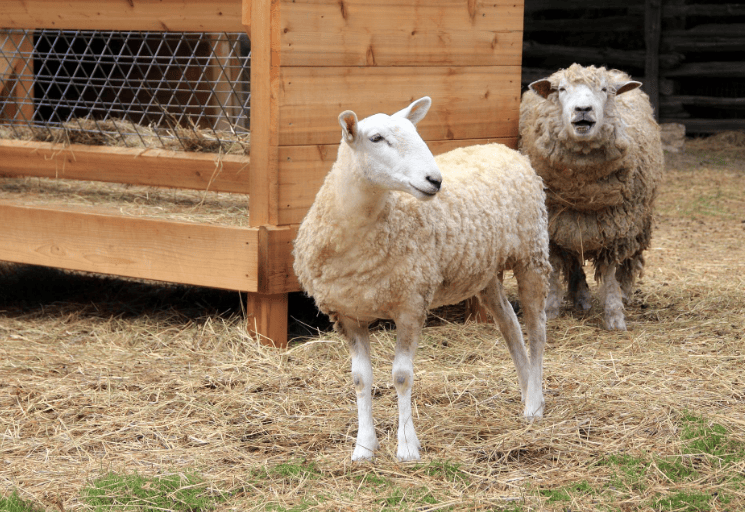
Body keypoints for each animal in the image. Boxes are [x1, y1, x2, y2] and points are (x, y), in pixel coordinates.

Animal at [294, 98, 548, 462]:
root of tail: (505, 149)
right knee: (510, 325)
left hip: (532, 252)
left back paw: (535, 405)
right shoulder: (347, 313)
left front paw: (406, 447)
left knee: (537, 330)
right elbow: (360, 378)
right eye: (376, 138)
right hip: (485, 271)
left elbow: (401, 376)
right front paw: (363, 447)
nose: (435, 180)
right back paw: (526, 392)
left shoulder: (411, 302)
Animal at [516, 63, 664, 332]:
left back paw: (625, 293)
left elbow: (610, 273)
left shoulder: (614, 229)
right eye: (561, 89)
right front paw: (550, 308)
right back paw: (581, 297)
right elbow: (555, 268)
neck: (582, 194)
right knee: (574, 261)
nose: (583, 109)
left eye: (605, 90)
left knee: (629, 261)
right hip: (572, 226)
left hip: (639, 221)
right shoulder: (552, 226)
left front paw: (615, 314)